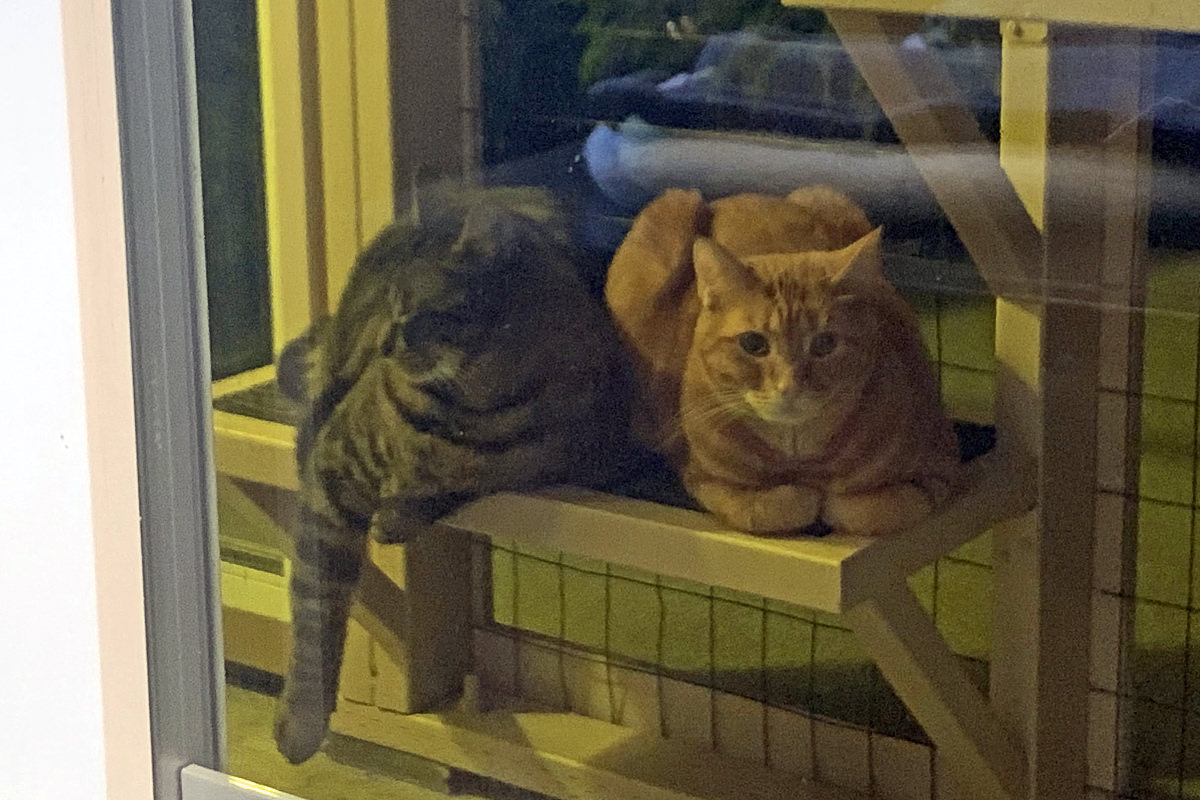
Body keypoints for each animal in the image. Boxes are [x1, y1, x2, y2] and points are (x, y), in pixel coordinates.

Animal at [273, 185, 628, 762]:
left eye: (413, 310)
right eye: (386, 302)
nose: (384, 345)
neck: (463, 408)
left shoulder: (562, 453)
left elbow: (469, 482)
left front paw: (404, 510)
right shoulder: (332, 469)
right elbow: (314, 613)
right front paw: (301, 724)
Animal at [604, 185, 960, 537]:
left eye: (825, 344)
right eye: (753, 343)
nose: (789, 386)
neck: (796, 451)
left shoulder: (941, 464)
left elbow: (865, 509)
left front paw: (830, 500)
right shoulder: (703, 479)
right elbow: (771, 508)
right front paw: (801, 497)